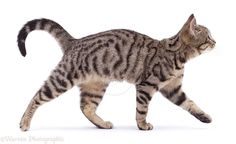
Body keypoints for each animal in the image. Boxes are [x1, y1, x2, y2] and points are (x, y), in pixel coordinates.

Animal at [17, 14, 216, 130]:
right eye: (208, 37)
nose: (216, 42)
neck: (178, 56)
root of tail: (75, 41)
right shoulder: (146, 86)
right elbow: (142, 109)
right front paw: (142, 125)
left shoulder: (173, 89)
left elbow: (189, 103)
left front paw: (204, 117)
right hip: (62, 79)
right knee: (37, 97)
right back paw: (25, 122)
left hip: (95, 86)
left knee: (86, 106)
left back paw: (102, 124)